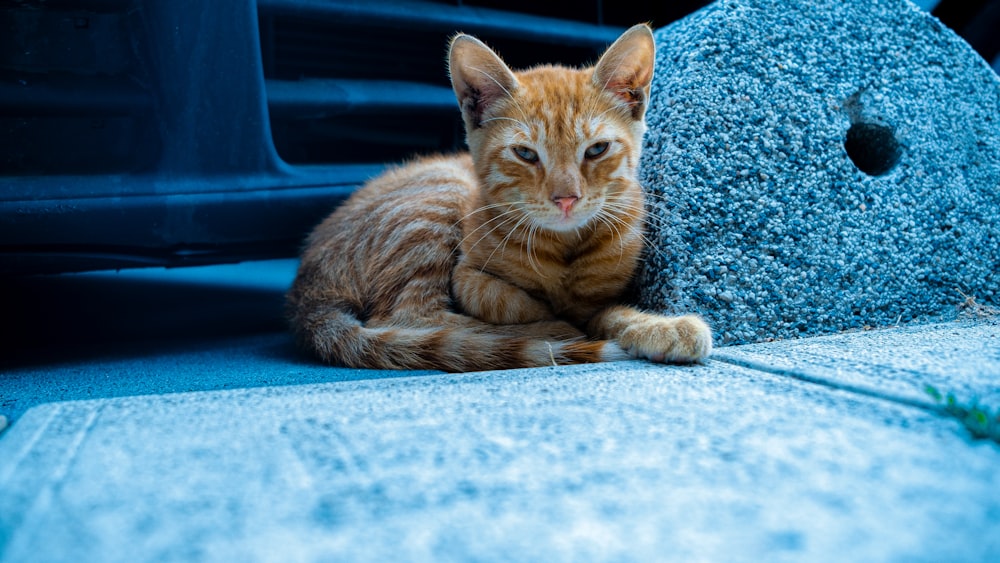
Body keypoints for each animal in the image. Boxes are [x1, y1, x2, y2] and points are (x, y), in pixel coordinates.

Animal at [288, 24, 712, 372]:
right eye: (525, 154)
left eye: (596, 150)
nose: (566, 199)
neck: (563, 248)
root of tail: (306, 290)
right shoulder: (467, 276)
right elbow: (509, 301)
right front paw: (558, 324)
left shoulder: (601, 293)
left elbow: (609, 311)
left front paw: (659, 327)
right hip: (436, 203)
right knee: (412, 320)